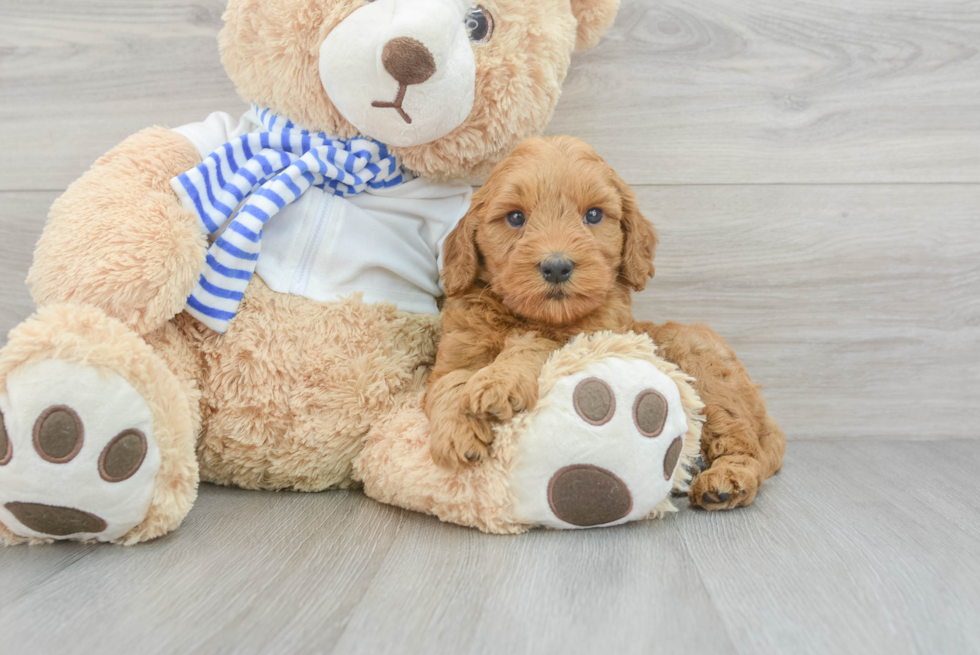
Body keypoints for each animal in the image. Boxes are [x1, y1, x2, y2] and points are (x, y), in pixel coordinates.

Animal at [424, 136, 784, 510]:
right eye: (515, 217)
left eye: (594, 215)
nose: (557, 267)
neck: (529, 315)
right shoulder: (457, 350)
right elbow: (450, 383)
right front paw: (458, 432)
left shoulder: (590, 338)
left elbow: (537, 344)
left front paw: (500, 381)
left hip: (703, 366)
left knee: (745, 441)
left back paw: (727, 479)